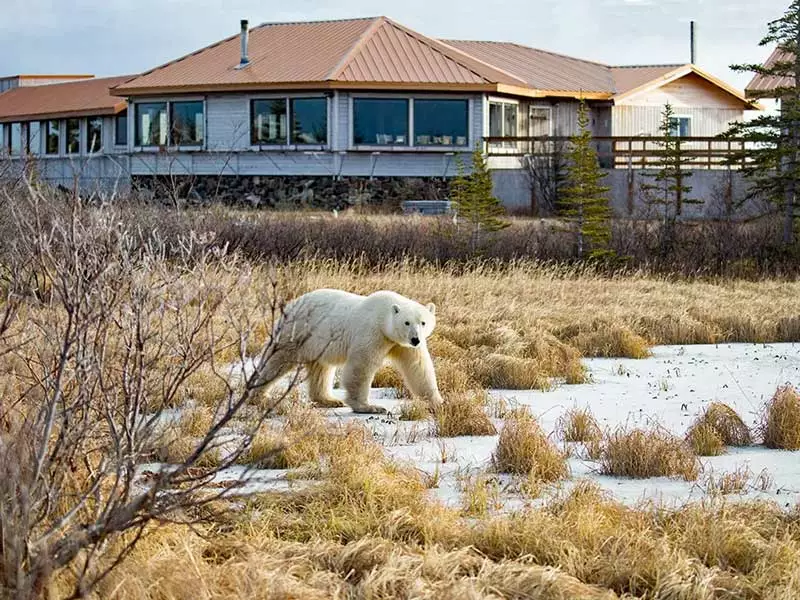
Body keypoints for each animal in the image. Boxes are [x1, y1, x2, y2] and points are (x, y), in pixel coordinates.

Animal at [255, 290, 444, 412]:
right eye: (406, 322)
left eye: (423, 322)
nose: (415, 339)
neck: (383, 317)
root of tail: (290, 305)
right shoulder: (372, 333)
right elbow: (362, 366)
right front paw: (369, 407)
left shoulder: (401, 345)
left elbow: (418, 368)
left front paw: (438, 402)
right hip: (296, 332)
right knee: (277, 360)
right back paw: (260, 395)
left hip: (318, 344)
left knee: (321, 369)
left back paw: (329, 400)